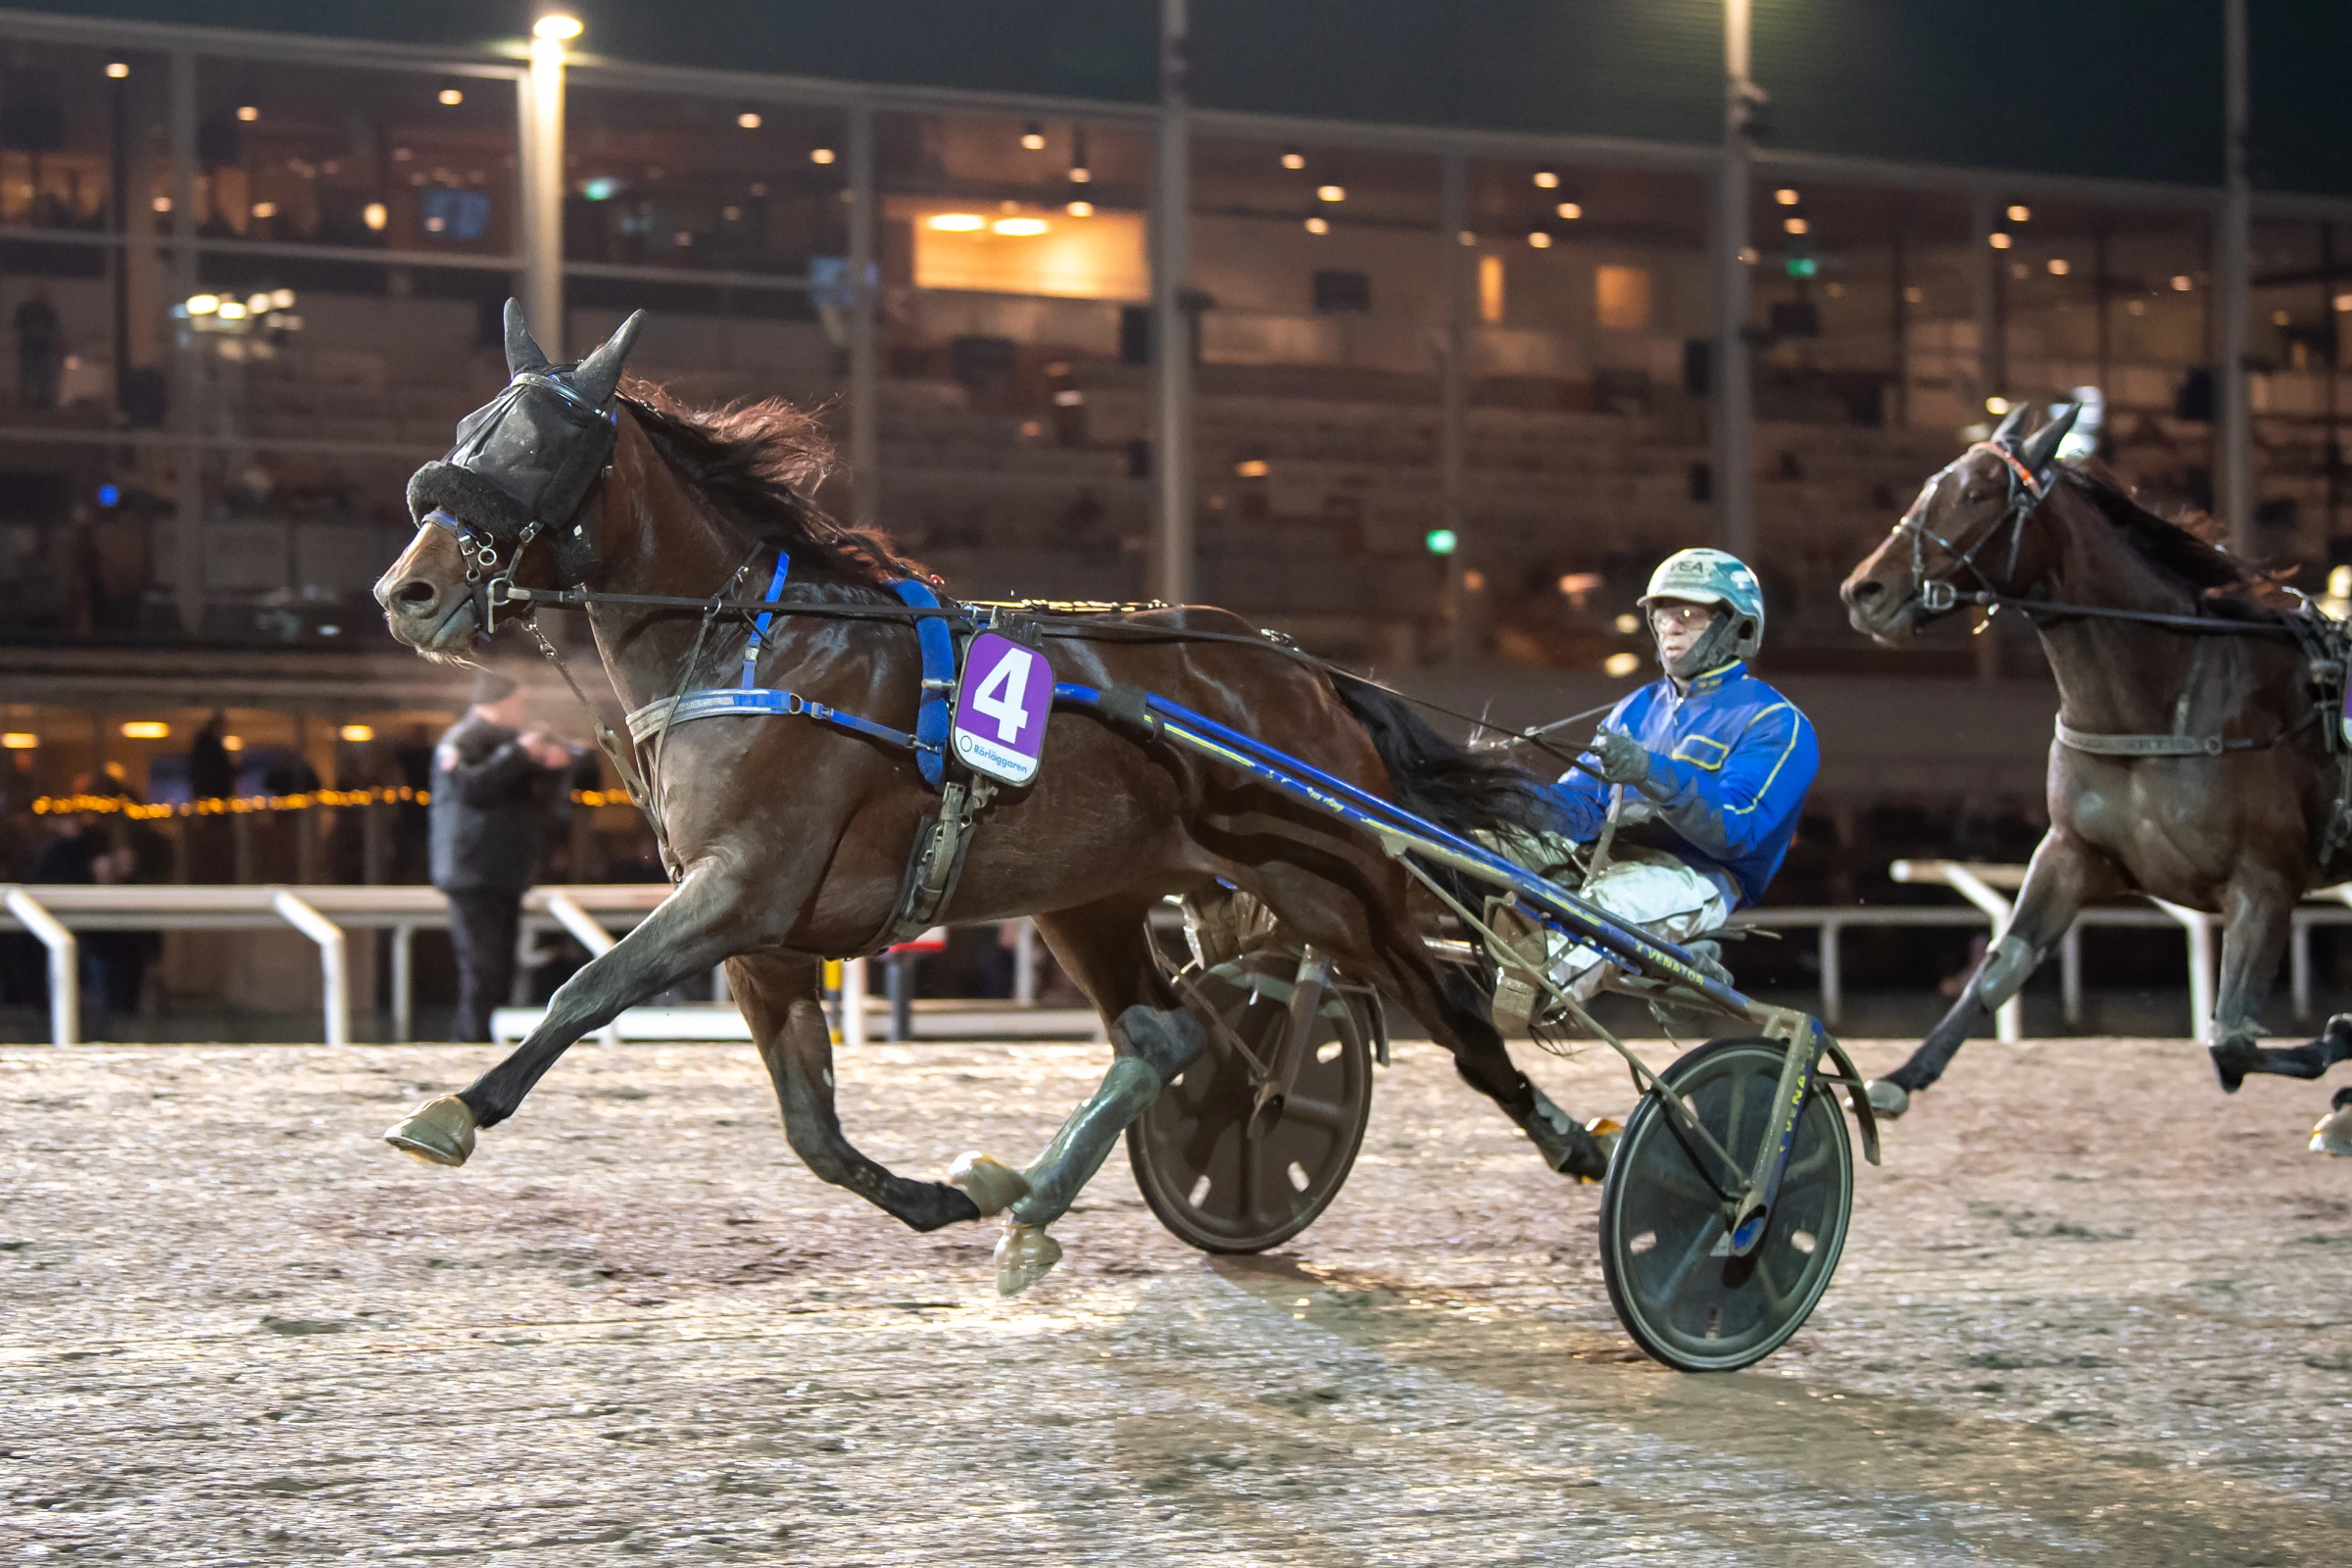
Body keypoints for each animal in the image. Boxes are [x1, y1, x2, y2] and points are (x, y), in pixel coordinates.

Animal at [371, 303, 1618, 1288]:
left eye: (541, 447)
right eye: (465, 433)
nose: (407, 591)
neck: (755, 644)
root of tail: (1301, 670)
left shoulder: (745, 888)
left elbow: (586, 988)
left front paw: (454, 1110)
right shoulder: (762, 936)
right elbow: (810, 1128)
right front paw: (945, 1197)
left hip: (1336, 883)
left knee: (1455, 1018)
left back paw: (1590, 1145)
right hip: (1091, 896)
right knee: (1165, 1033)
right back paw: (1032, 1201)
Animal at [1835, 404, 2352, 1142]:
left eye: (1978, 494)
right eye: (1932, 485)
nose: (1864, 591)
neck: (2164, 701)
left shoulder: (2267, 880)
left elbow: (2230, 1041)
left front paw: (2337, 1049)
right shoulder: (2073, 852)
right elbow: (1999, 969)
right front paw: (1898, 1080)